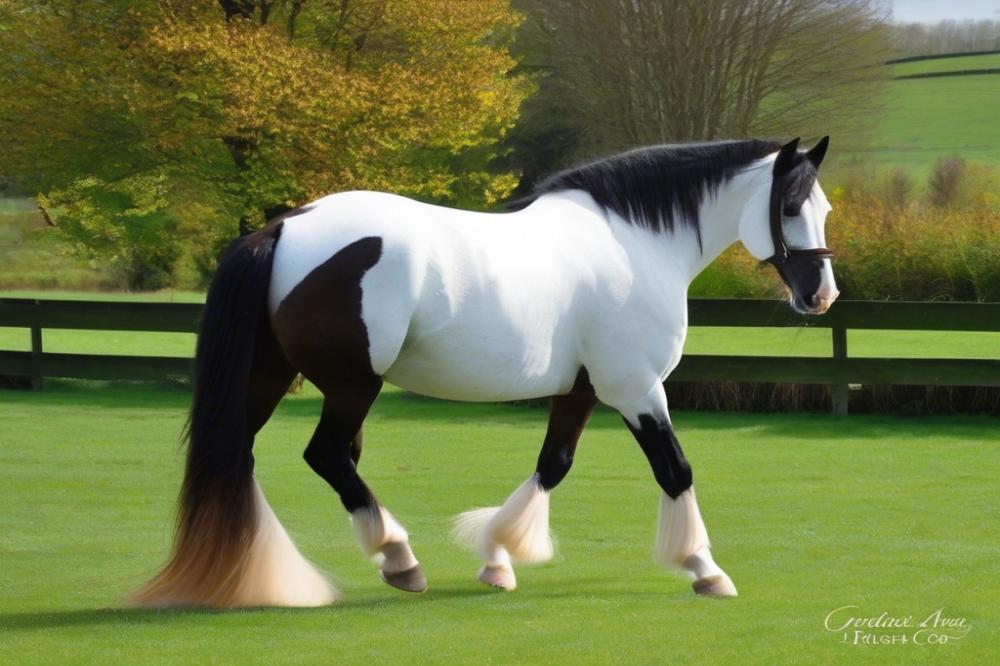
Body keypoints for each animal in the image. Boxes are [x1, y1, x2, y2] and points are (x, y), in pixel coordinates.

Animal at [133, 137, 836, 604]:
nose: (821, 295)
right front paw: (704, 568)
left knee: (242, 454)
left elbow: (553, 466)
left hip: (271, 376)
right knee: (327, 455)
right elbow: (675, 470)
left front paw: (499, 558)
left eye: (822, 208)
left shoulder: (580, 391)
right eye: (791, 206)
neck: (634, 243)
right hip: (354, 385)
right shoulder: (636, 389)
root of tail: (281, 228)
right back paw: (398, 558)